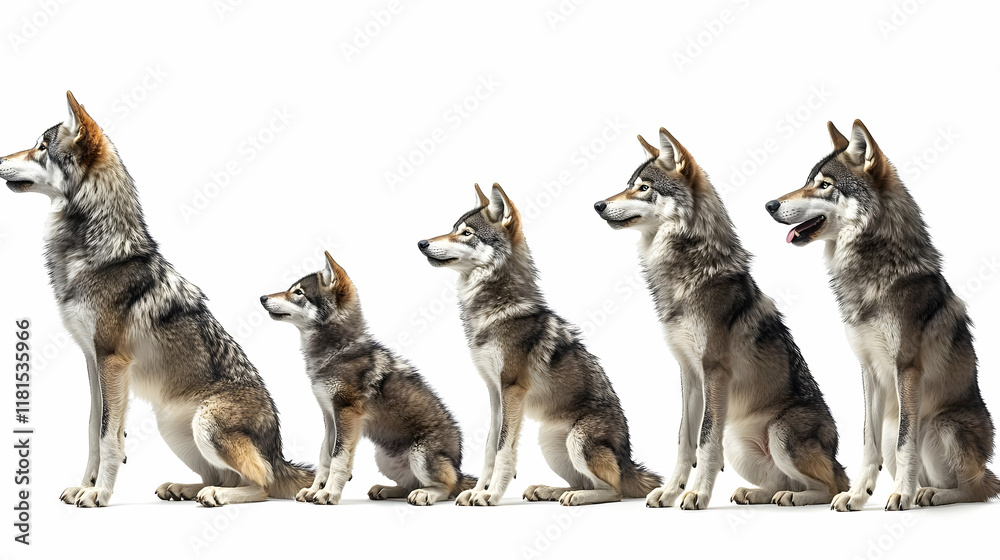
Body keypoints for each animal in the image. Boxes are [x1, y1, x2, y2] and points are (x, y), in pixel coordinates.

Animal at [0, 92, 312, 507]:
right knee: (221, 475)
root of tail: (279, 453)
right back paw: (182, 488)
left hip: (205, 424)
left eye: (40, 147)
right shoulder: (92, 360)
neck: (96, 252)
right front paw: (85, 485)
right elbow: (92, 430)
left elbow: (109, 435)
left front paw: (100, 494)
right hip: (171, 425)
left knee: (260, 483)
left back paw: (215, 495)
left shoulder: (112, 361)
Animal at [261, 251, 475, 505]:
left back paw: (426, 494)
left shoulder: (347, 414)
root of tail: (458, 467)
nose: (262, 297)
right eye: (291, 289)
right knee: (409, 484)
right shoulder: (330, 417)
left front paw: (328, 494)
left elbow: (339, 460)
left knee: (446, 486)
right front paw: (314, 490)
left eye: (298, 293)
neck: (338, 351)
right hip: (383, 458)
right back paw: (385, 489)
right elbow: (324, 457)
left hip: (420, 455)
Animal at [417, 183, 661, 506]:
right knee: (583, 481)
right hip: (549, 442)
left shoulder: (512, 389)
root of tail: (629, 461)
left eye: (466, 233)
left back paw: (575, 497)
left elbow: (504, 449)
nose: (421, 243)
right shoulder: (495, 393)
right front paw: (477, 490)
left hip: (578, 441)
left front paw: (491, 495)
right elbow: (489, 447)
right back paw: (548, 490)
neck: (494, 310)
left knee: (614, 490)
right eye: (453, 229)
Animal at [594, 128, 849, 509]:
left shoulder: (715, 371)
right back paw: (756, 493)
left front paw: (697, 494)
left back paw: (795, 497)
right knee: (784, 481)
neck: (686, 272)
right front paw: (671, 491)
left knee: (832, 484)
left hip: (781, 432)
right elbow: (685, 439)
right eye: (628, 185)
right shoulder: (689, 372)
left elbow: (705, 440)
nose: (598, 205)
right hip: (739, 442)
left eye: (643, 188)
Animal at [766, 119, 999, 510]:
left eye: (824, 185)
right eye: (808, 179)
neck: (872, 272)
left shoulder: (906, 368)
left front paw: (900, 495)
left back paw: (927, 493)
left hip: (945, 425)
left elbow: (908, 443)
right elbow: (866, 442)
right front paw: (858, 495)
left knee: (977, 488)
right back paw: (921, 490)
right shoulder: (869, 369)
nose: (769, 204)